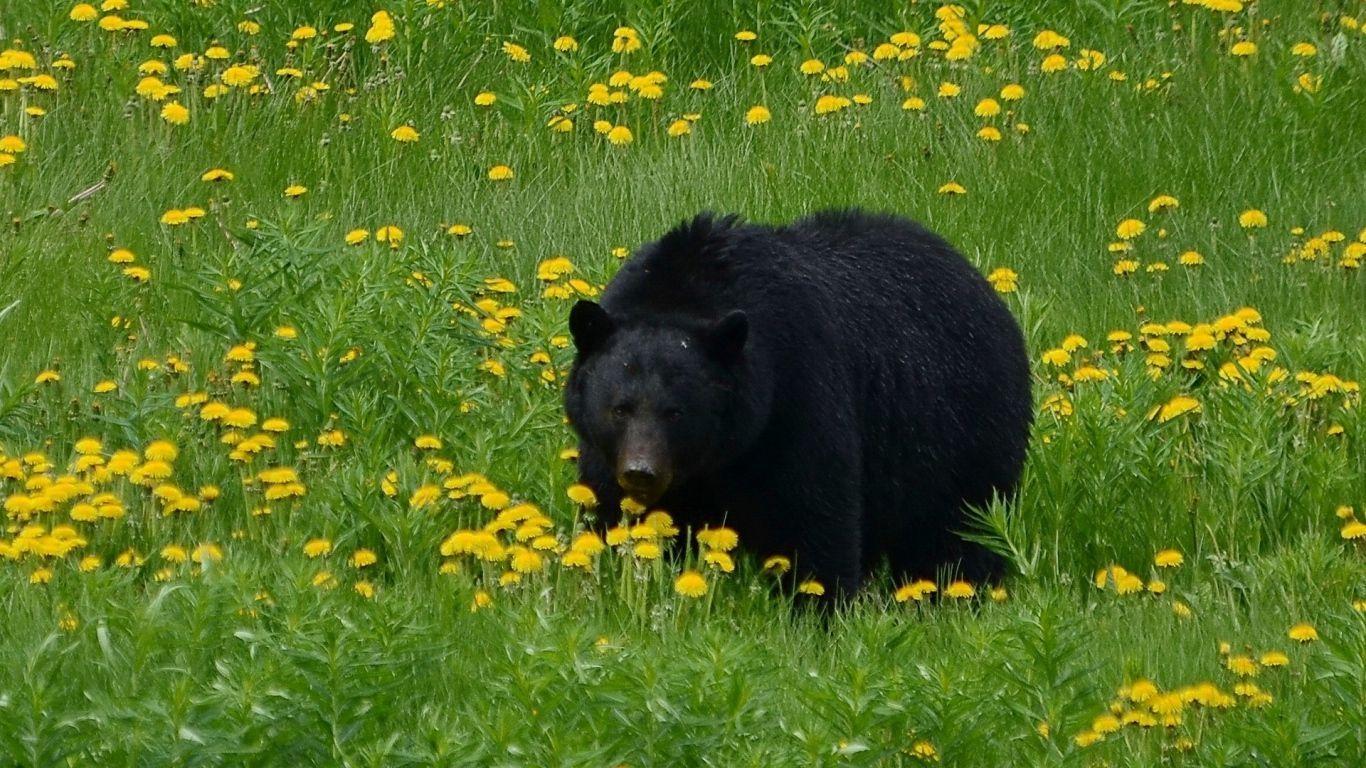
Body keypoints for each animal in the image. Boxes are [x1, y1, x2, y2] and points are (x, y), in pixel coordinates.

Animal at [564, 209, 1032, 598]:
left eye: (675, 412)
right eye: (620, 408)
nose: (641, 472)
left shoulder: (797, 394)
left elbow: (814, 516)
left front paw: (817, 607)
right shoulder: (607, 455)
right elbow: (611, 511)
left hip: (960, 432)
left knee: (958, 534)